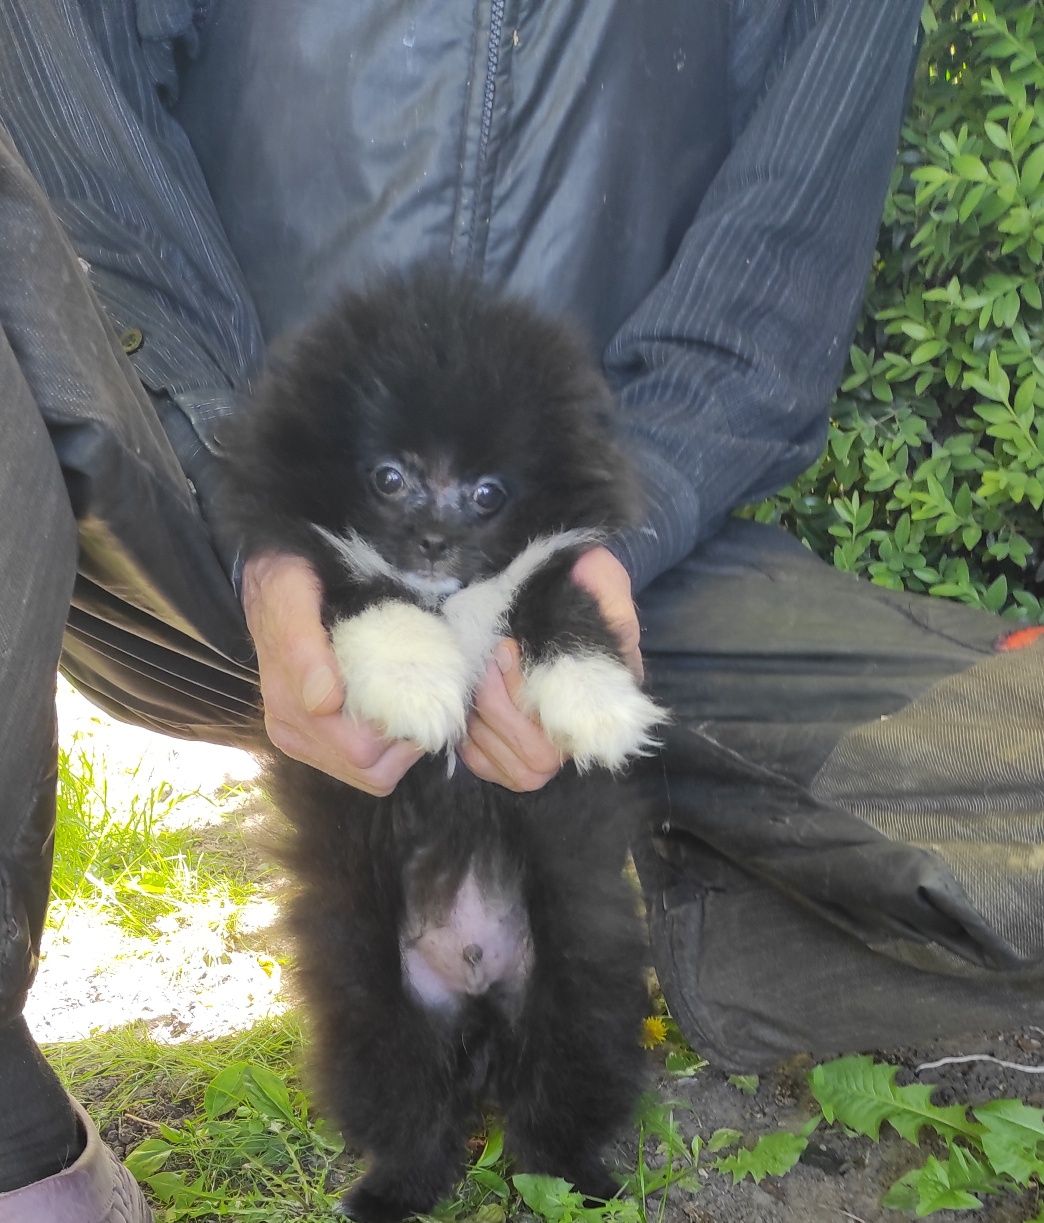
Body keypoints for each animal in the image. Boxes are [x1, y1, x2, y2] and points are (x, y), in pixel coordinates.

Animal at [223, 270, 665, 1223]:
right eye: (389, 477)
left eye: (489, 492)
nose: (431, 540)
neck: (450, 596)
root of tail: (474, 998)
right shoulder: (327, 571)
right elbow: (367, 597)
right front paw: (416, 683)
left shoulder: (546, 573)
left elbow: (564, 608)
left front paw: (601, 704)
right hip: (368, 1005)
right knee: (414, 1116)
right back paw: (389, 1190)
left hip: (585, 987)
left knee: (550, 1112)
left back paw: (584, 1182)